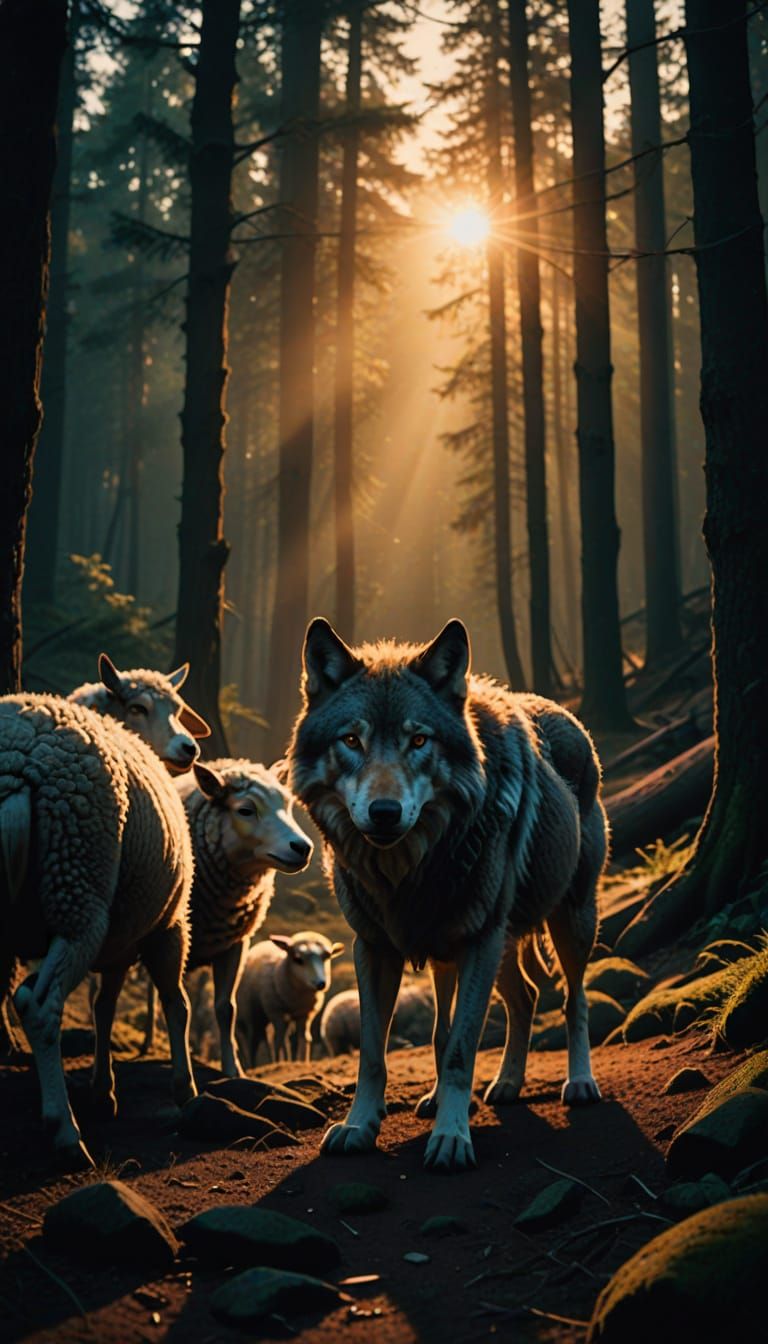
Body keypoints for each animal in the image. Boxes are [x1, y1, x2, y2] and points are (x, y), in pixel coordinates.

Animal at [289, 617, 608, 1172]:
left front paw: (452, 1137)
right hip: (480, 947)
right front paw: (359, 1125)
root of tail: (569, 716)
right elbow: (377, 1052)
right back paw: (503, 1084)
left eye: (419, 740)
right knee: (522, 998)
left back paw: (580, 1081)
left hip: (566, 922)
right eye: (351, 739)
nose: (385, 812)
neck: (409, 868)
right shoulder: (374, 947)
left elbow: (460, 1048)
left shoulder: (479, 941)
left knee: (574, 999)